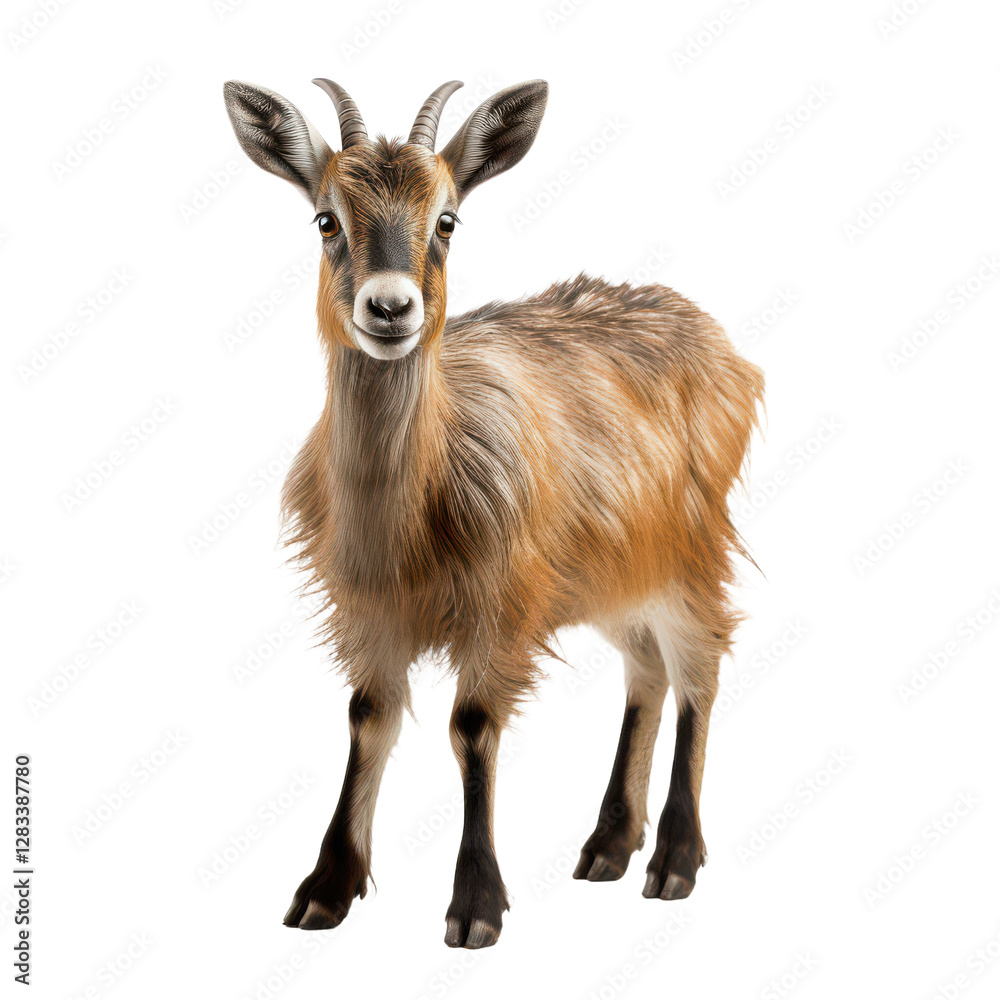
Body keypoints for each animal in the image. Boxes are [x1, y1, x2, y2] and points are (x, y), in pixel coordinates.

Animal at [223, 77, 764, 949]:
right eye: (326, 219)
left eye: (447, 220)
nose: (390, 308)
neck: (409, 520)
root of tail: (723, 346)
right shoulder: (368, 607)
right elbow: (369, 717)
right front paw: (327, 888)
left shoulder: (501, 599)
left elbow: (471, 726)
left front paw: (476, 902)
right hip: (610, 573)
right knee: (645, 667)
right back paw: (609, 842)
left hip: (687, 545)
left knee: (700, 664)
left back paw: (675, 858)